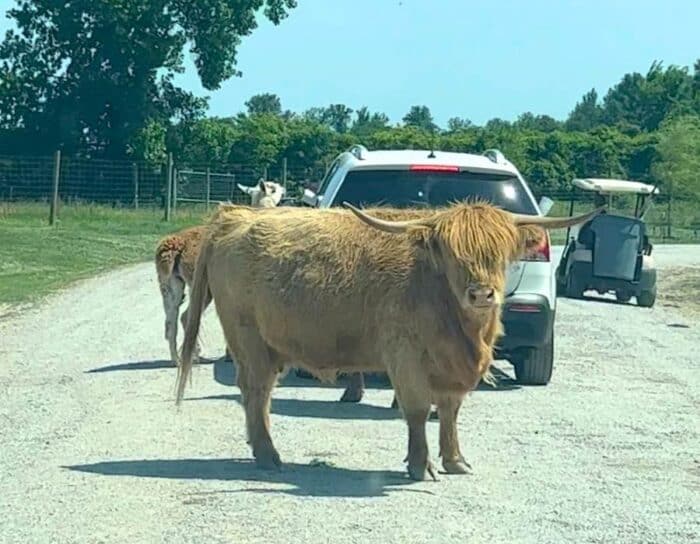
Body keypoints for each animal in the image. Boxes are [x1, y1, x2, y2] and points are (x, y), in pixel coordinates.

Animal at [178, 201, 600, 480]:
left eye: (498, 254)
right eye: (454, 255)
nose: (481, 294)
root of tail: (236, 215)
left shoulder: (450, 368)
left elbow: (450, 411)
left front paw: (455, 460)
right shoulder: (406, 356)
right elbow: (417, 411)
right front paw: (420, 465)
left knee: (258, 395)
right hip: (249, 339)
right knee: (256, 391)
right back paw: (269, 455)